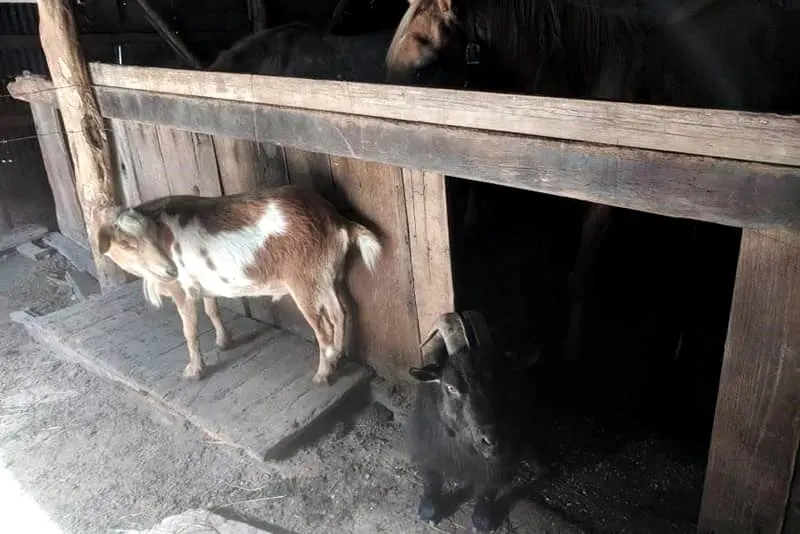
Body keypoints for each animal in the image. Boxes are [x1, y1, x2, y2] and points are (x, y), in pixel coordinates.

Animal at [95, 186, 382, 388]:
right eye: (125, 244)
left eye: (152, 236)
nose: (170, 269)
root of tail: (337, 221)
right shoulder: (204, 284)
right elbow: (212, 311)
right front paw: (224, 342)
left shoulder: (182, 290)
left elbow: (189, 331)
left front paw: (193, 371)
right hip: (326, 277)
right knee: (340, 313)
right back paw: (337, 357)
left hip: (304, 281)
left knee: (323, 328)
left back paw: (322, 374)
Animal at [406, 312, 512, 532]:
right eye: (450, 387)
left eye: (494, 380)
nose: (490, 440)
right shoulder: (427, 445)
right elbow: (431, 479)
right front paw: (428, 511)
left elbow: (490, 486)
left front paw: (481, 521)